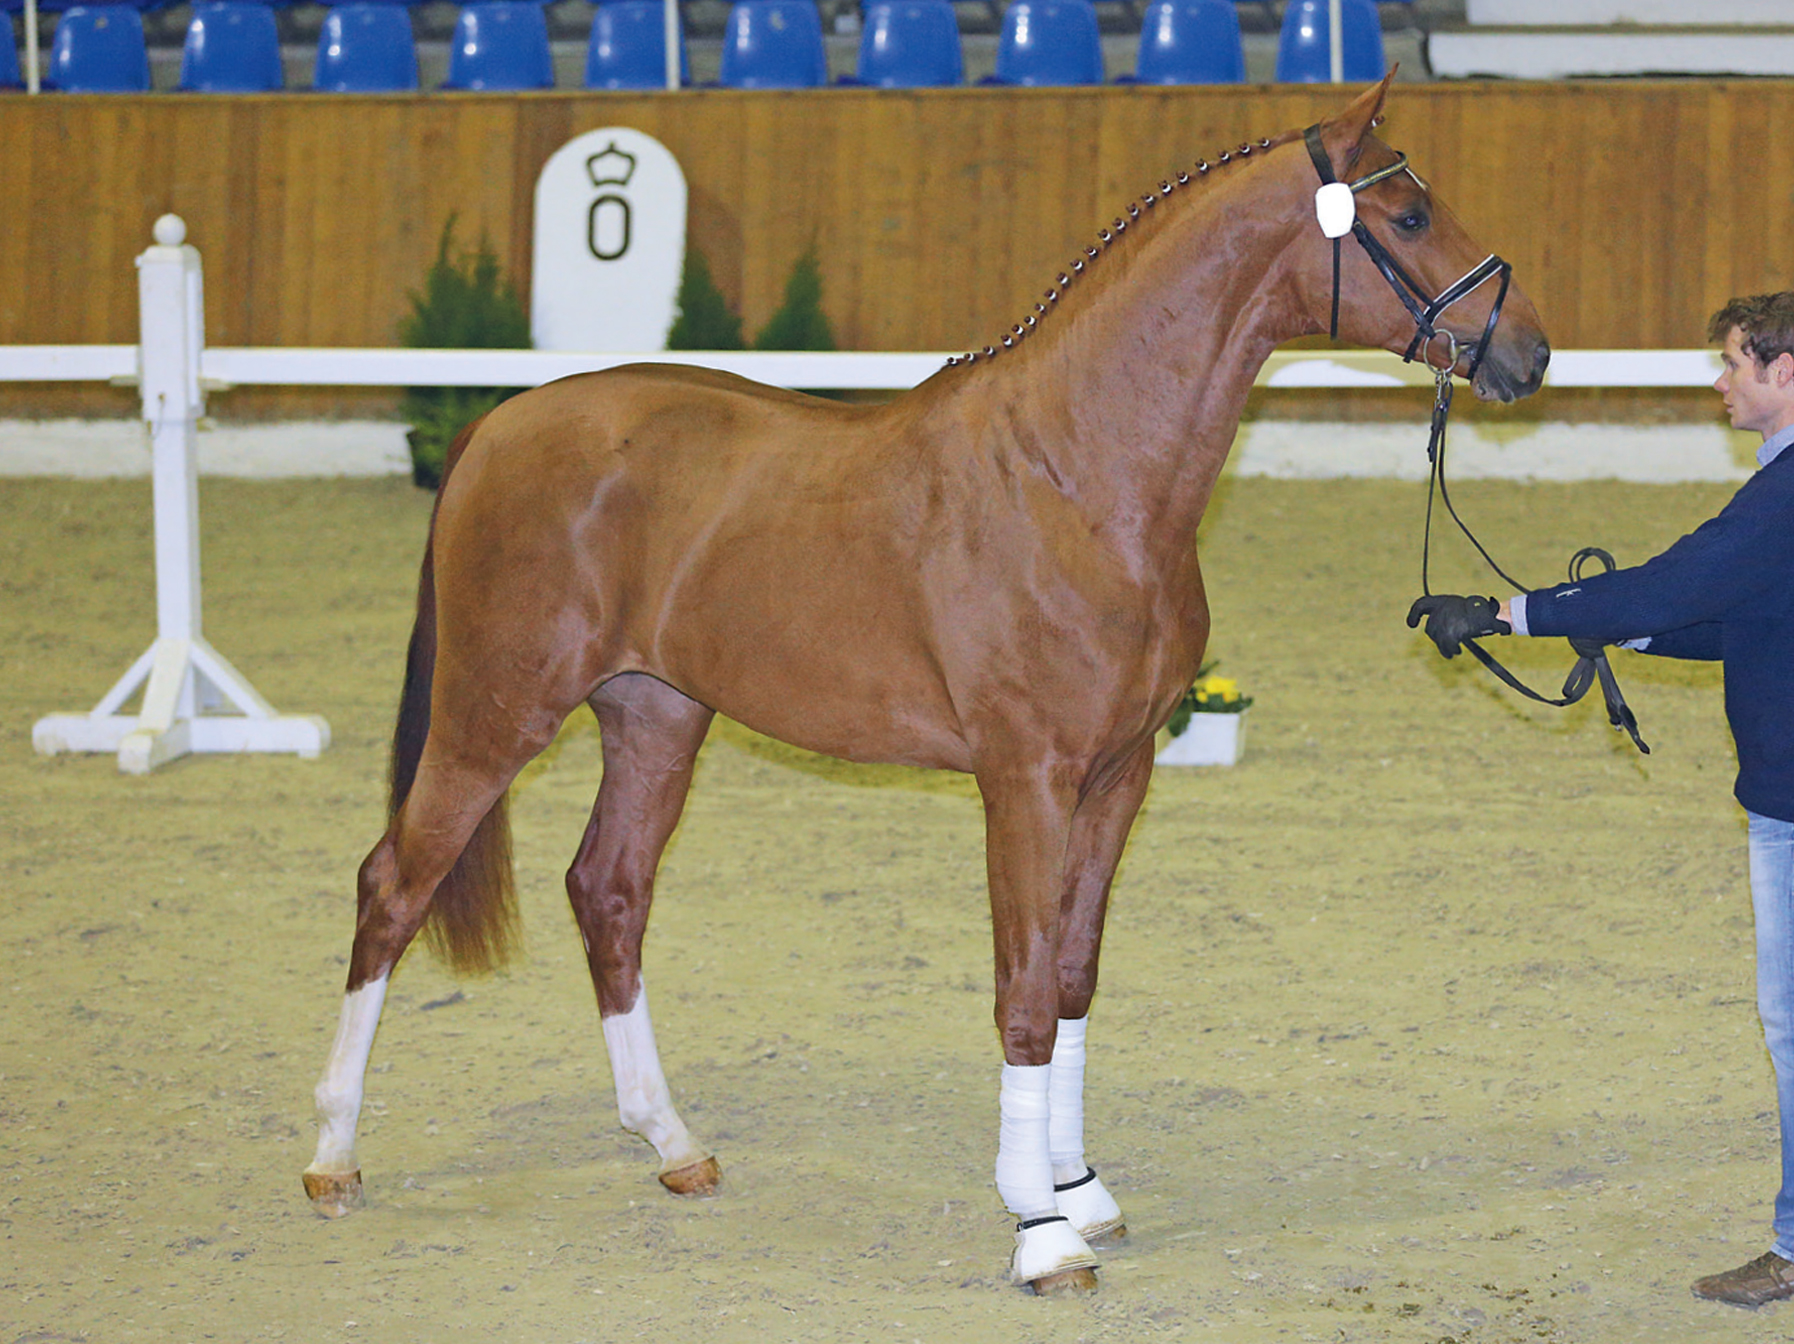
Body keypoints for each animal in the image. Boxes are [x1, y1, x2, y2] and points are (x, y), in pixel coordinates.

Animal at [301, 76, 1550, 1296]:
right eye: (1409, 216)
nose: (1529, 351)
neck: (1075, 474)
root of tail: (498, 424)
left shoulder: (1120, 774)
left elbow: (1074, 976)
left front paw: (1079, 1188)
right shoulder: (1026, 781)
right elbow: (1022, 990)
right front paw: (1039, 1230)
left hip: (654, 715)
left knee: (609, 893)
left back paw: (674, 1145)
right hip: (493, 715)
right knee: (393, 887)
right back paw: (333, 1159)